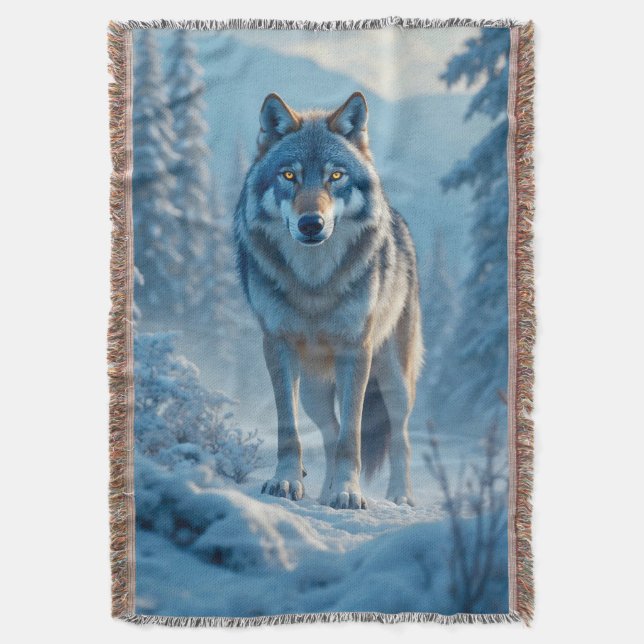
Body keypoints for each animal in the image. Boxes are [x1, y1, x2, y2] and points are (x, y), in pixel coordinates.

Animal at [234, 92, 423, 509]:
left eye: (335, 176)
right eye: (289, 176)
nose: (311, 224)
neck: (314, 283)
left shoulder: (356, 350)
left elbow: (352, 436)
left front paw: (349, 493)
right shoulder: (277, 346)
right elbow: (290, 430)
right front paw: (286, 482)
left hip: (394, 380)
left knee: (400, 437)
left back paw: (400, 496)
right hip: (315, 393)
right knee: (329, 431)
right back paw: (323, 492)